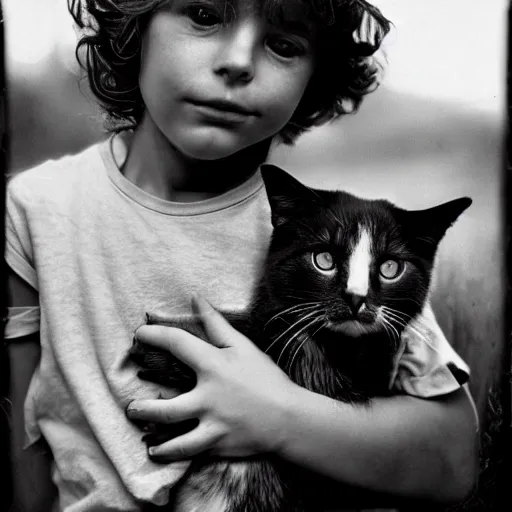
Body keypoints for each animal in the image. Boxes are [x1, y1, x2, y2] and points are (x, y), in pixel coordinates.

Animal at [128, 165, 472, 512]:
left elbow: (299, 361)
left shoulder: (365, 369)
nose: (356, 297)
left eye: (391, 267)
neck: (340, 347)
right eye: (324, 260)